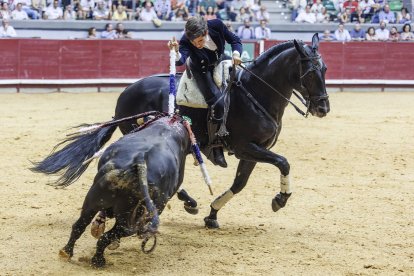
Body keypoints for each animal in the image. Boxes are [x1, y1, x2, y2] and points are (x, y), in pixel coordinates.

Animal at [53, 116, 191, 268]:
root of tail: (139, 160)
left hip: (92, 201)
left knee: (80, 225)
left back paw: (66, 252)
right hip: (132, 218)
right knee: (113, 234)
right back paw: (98, 260)